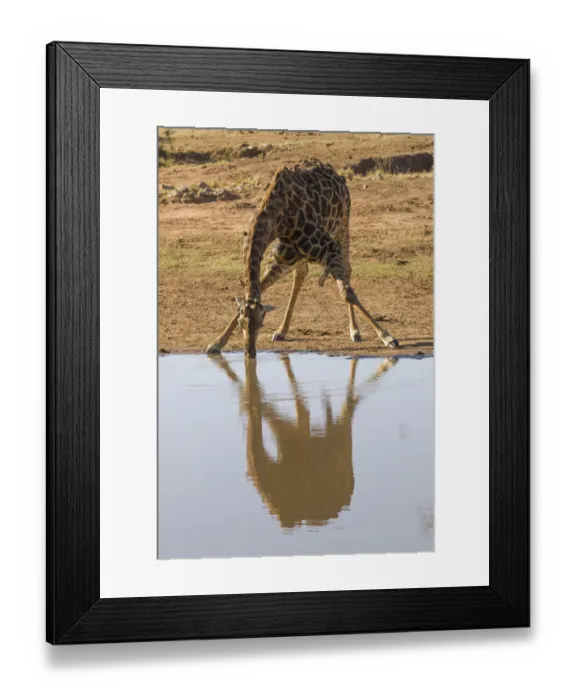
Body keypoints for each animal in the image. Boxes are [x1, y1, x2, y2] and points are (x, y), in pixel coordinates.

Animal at [205, 158, 400, 358]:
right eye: (241, 324)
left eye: (261, 323)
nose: (249, 353)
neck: (275, 216)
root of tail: (334, 172)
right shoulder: (282, 256)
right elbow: (261, 286)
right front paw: (216, 342)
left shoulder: (329, 248)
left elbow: (347, 293)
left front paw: (387, 337)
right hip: (297, 254)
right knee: (300, 274)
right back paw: (282, 331)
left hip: (343, 224)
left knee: (347, 269)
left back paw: (355, 331)